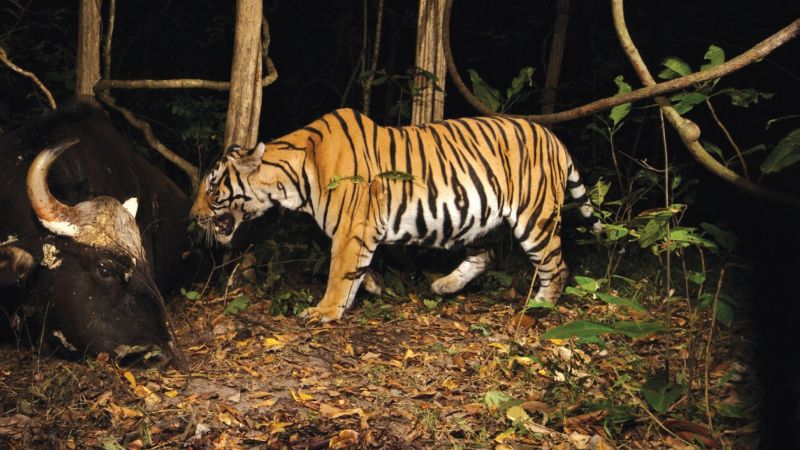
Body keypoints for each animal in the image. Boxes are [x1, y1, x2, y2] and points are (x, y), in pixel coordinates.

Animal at [191, 107, 596, 322]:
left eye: (212, 187)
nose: (193, 216)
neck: (290, 182)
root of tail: (553, 137)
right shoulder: (360, 230)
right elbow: (354, 267)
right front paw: (369, 286)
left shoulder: (353, 226)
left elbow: (338, 271)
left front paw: (325, 311)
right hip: (479, 218)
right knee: (487, 254)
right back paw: (444, 285)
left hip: (535, 217)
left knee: (557, 265)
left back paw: (541, 305)